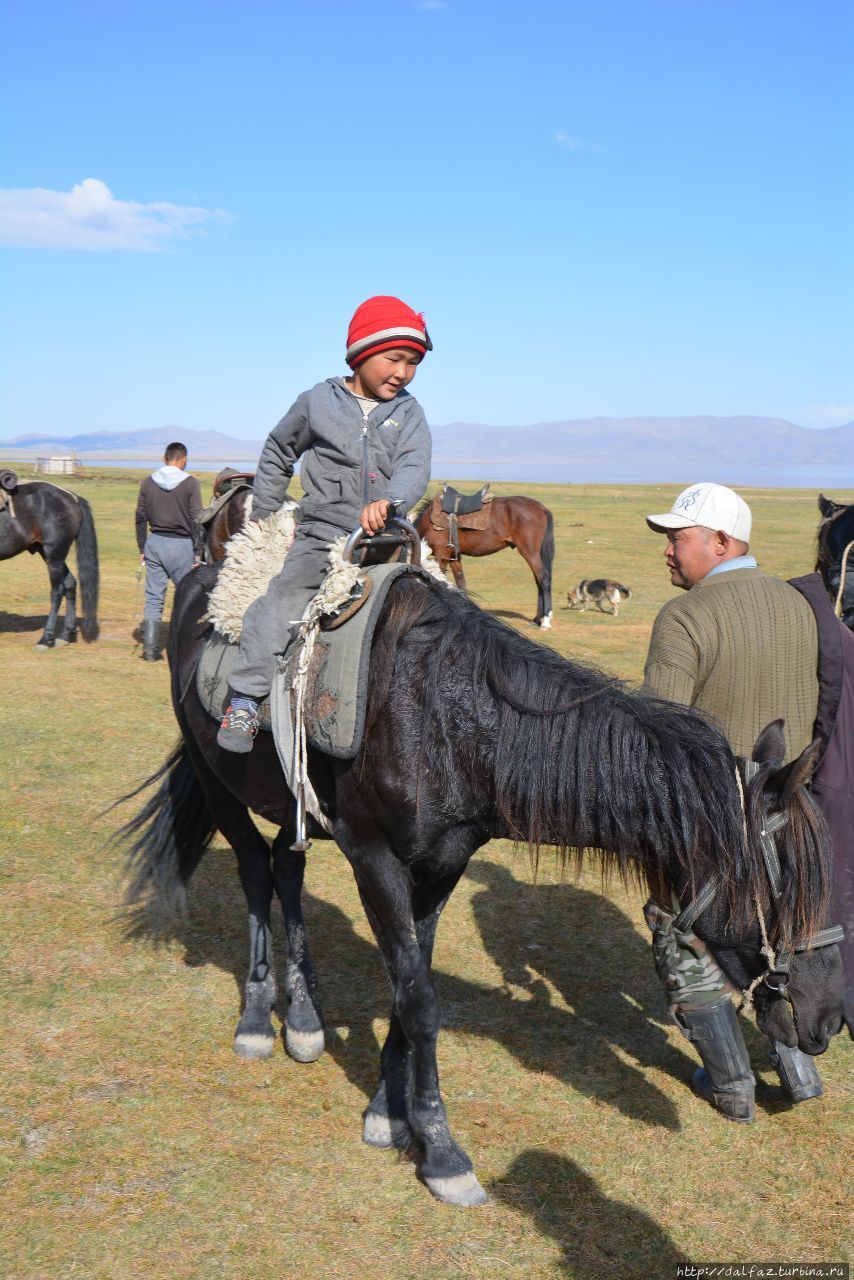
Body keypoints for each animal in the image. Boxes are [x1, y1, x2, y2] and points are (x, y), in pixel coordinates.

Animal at [0, 473, 100, 645]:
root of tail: (72, 498)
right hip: (49, 554)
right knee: (70, 583)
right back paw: (66, 634)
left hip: (54, 554)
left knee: (57, 591)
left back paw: (46, 638)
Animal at [117, 555, 845, 1203]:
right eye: (788, 890)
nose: (831, 1018)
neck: (451, 719)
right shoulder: (375, 861)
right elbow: (418, 1001)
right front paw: (440, 1152)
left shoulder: (443, 866)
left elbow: (408, 987)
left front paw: (389, 1110)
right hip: (219, 787)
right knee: (253, 873)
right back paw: (256, 1017)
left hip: (293, 806)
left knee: (286, 868)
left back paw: (301, 1015)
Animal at [412, 486, 555, 627]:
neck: (427, 522)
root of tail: (542, 508)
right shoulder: (453, 556)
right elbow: (461, 583)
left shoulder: (441, 554)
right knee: (538, 580)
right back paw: (536, 619)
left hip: (529, 551)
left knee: (543, 578)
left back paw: (545, 620)